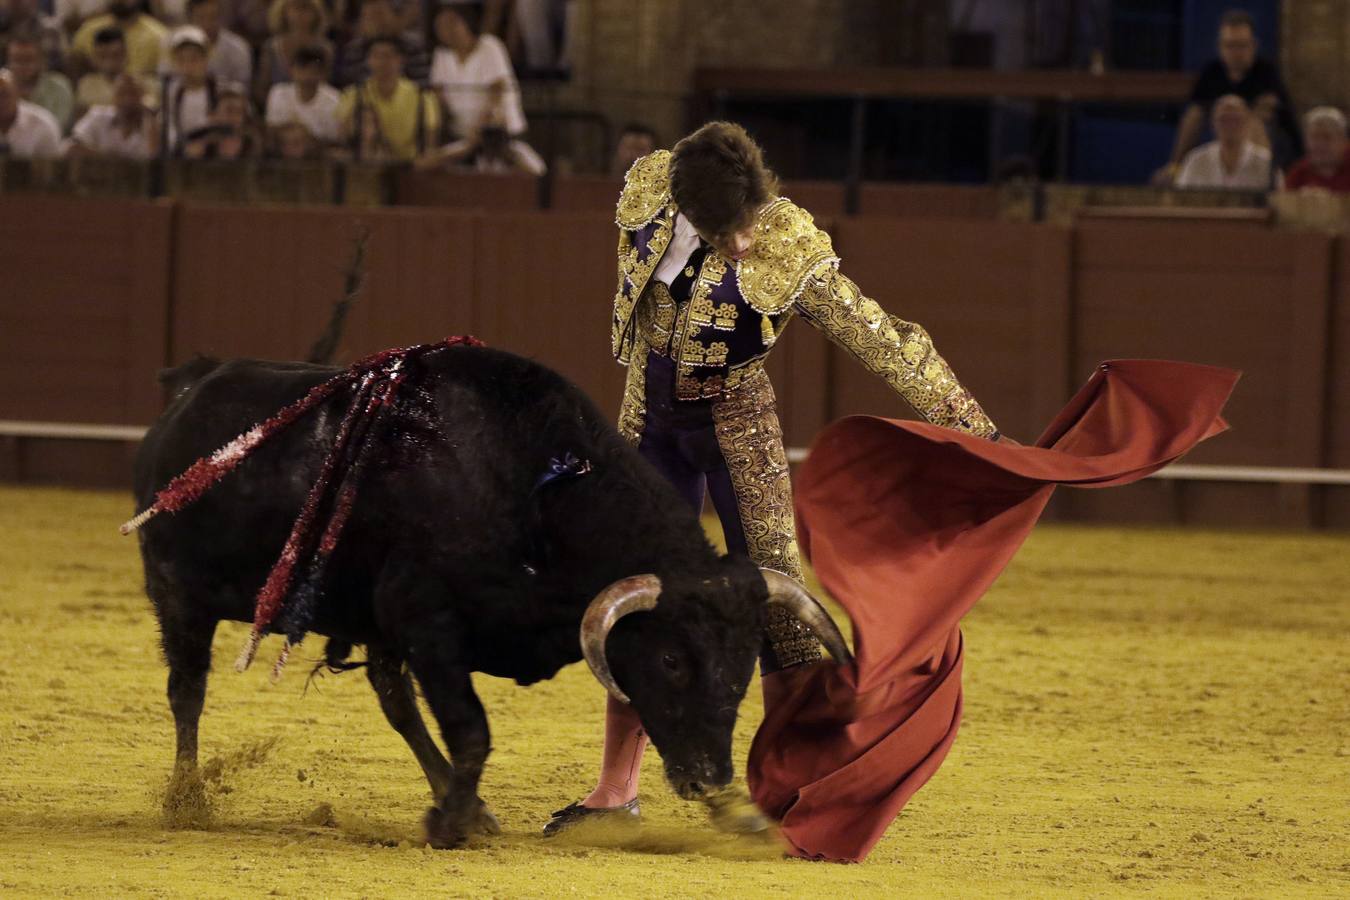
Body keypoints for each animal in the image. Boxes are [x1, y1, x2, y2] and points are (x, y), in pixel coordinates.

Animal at [137, 342, 847, 847]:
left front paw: (457, 811)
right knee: (187, 691)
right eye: (672, 660)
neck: (531, 491)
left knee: (394, 701)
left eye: (745, 662)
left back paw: (467, 803)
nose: (710, 778)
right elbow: (472, 729)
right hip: (179, 595)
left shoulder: (409, 626)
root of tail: (193, 388)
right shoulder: (429, 622)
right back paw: (186, 801)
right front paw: (447, 825)